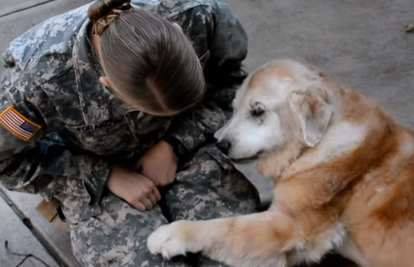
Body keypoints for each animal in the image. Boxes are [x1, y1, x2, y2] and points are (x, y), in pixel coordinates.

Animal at [146, 59, 414, 267]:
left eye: (257, 111)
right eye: (234, 109)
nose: (221, 144)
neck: (312, 145)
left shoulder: (289, 225)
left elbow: (226, 226)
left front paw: (172, 234)